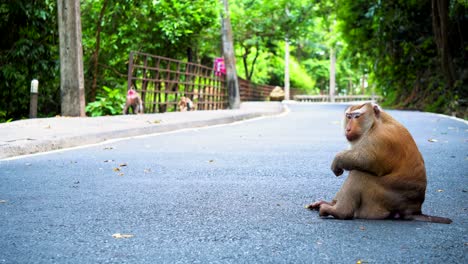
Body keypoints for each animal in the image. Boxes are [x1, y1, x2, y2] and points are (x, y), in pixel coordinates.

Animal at [308, 102, 454, 224]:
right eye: (348, 117)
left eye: (357, 116)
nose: (348, 129)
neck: (375, 123)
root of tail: (414, 209)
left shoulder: (380, 138)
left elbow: (365, 160)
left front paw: (338, 160)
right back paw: (330, 204)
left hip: (382, 199)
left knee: (359, 174)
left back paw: (339, 211)